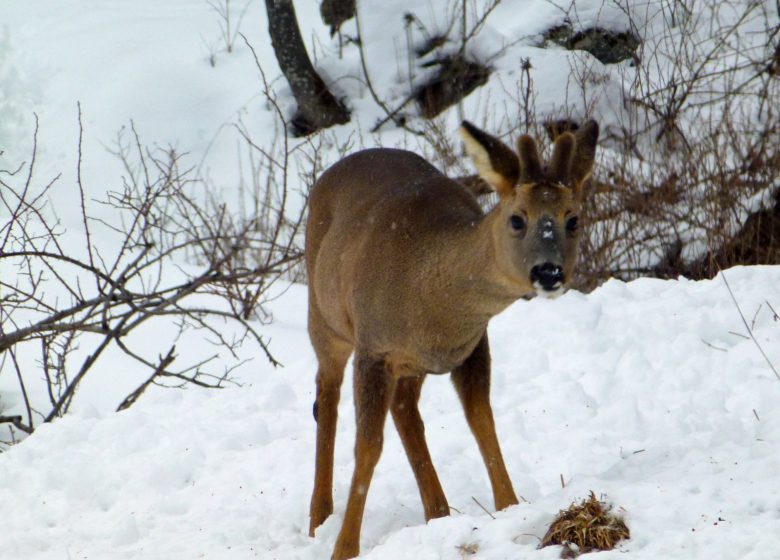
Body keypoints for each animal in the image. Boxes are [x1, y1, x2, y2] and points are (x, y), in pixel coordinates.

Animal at [304, 120, 596, 556]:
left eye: (572, 218)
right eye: (517, 219)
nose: (549, 272)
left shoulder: (473, 345)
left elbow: (482, 421)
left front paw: (509, 509)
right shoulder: (373, 346)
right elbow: (368, 446)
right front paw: (344, 549)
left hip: (410, 365)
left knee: (405, 410)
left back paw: (438, 512)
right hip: (324, 319)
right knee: (326, 397)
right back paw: (319, 519)